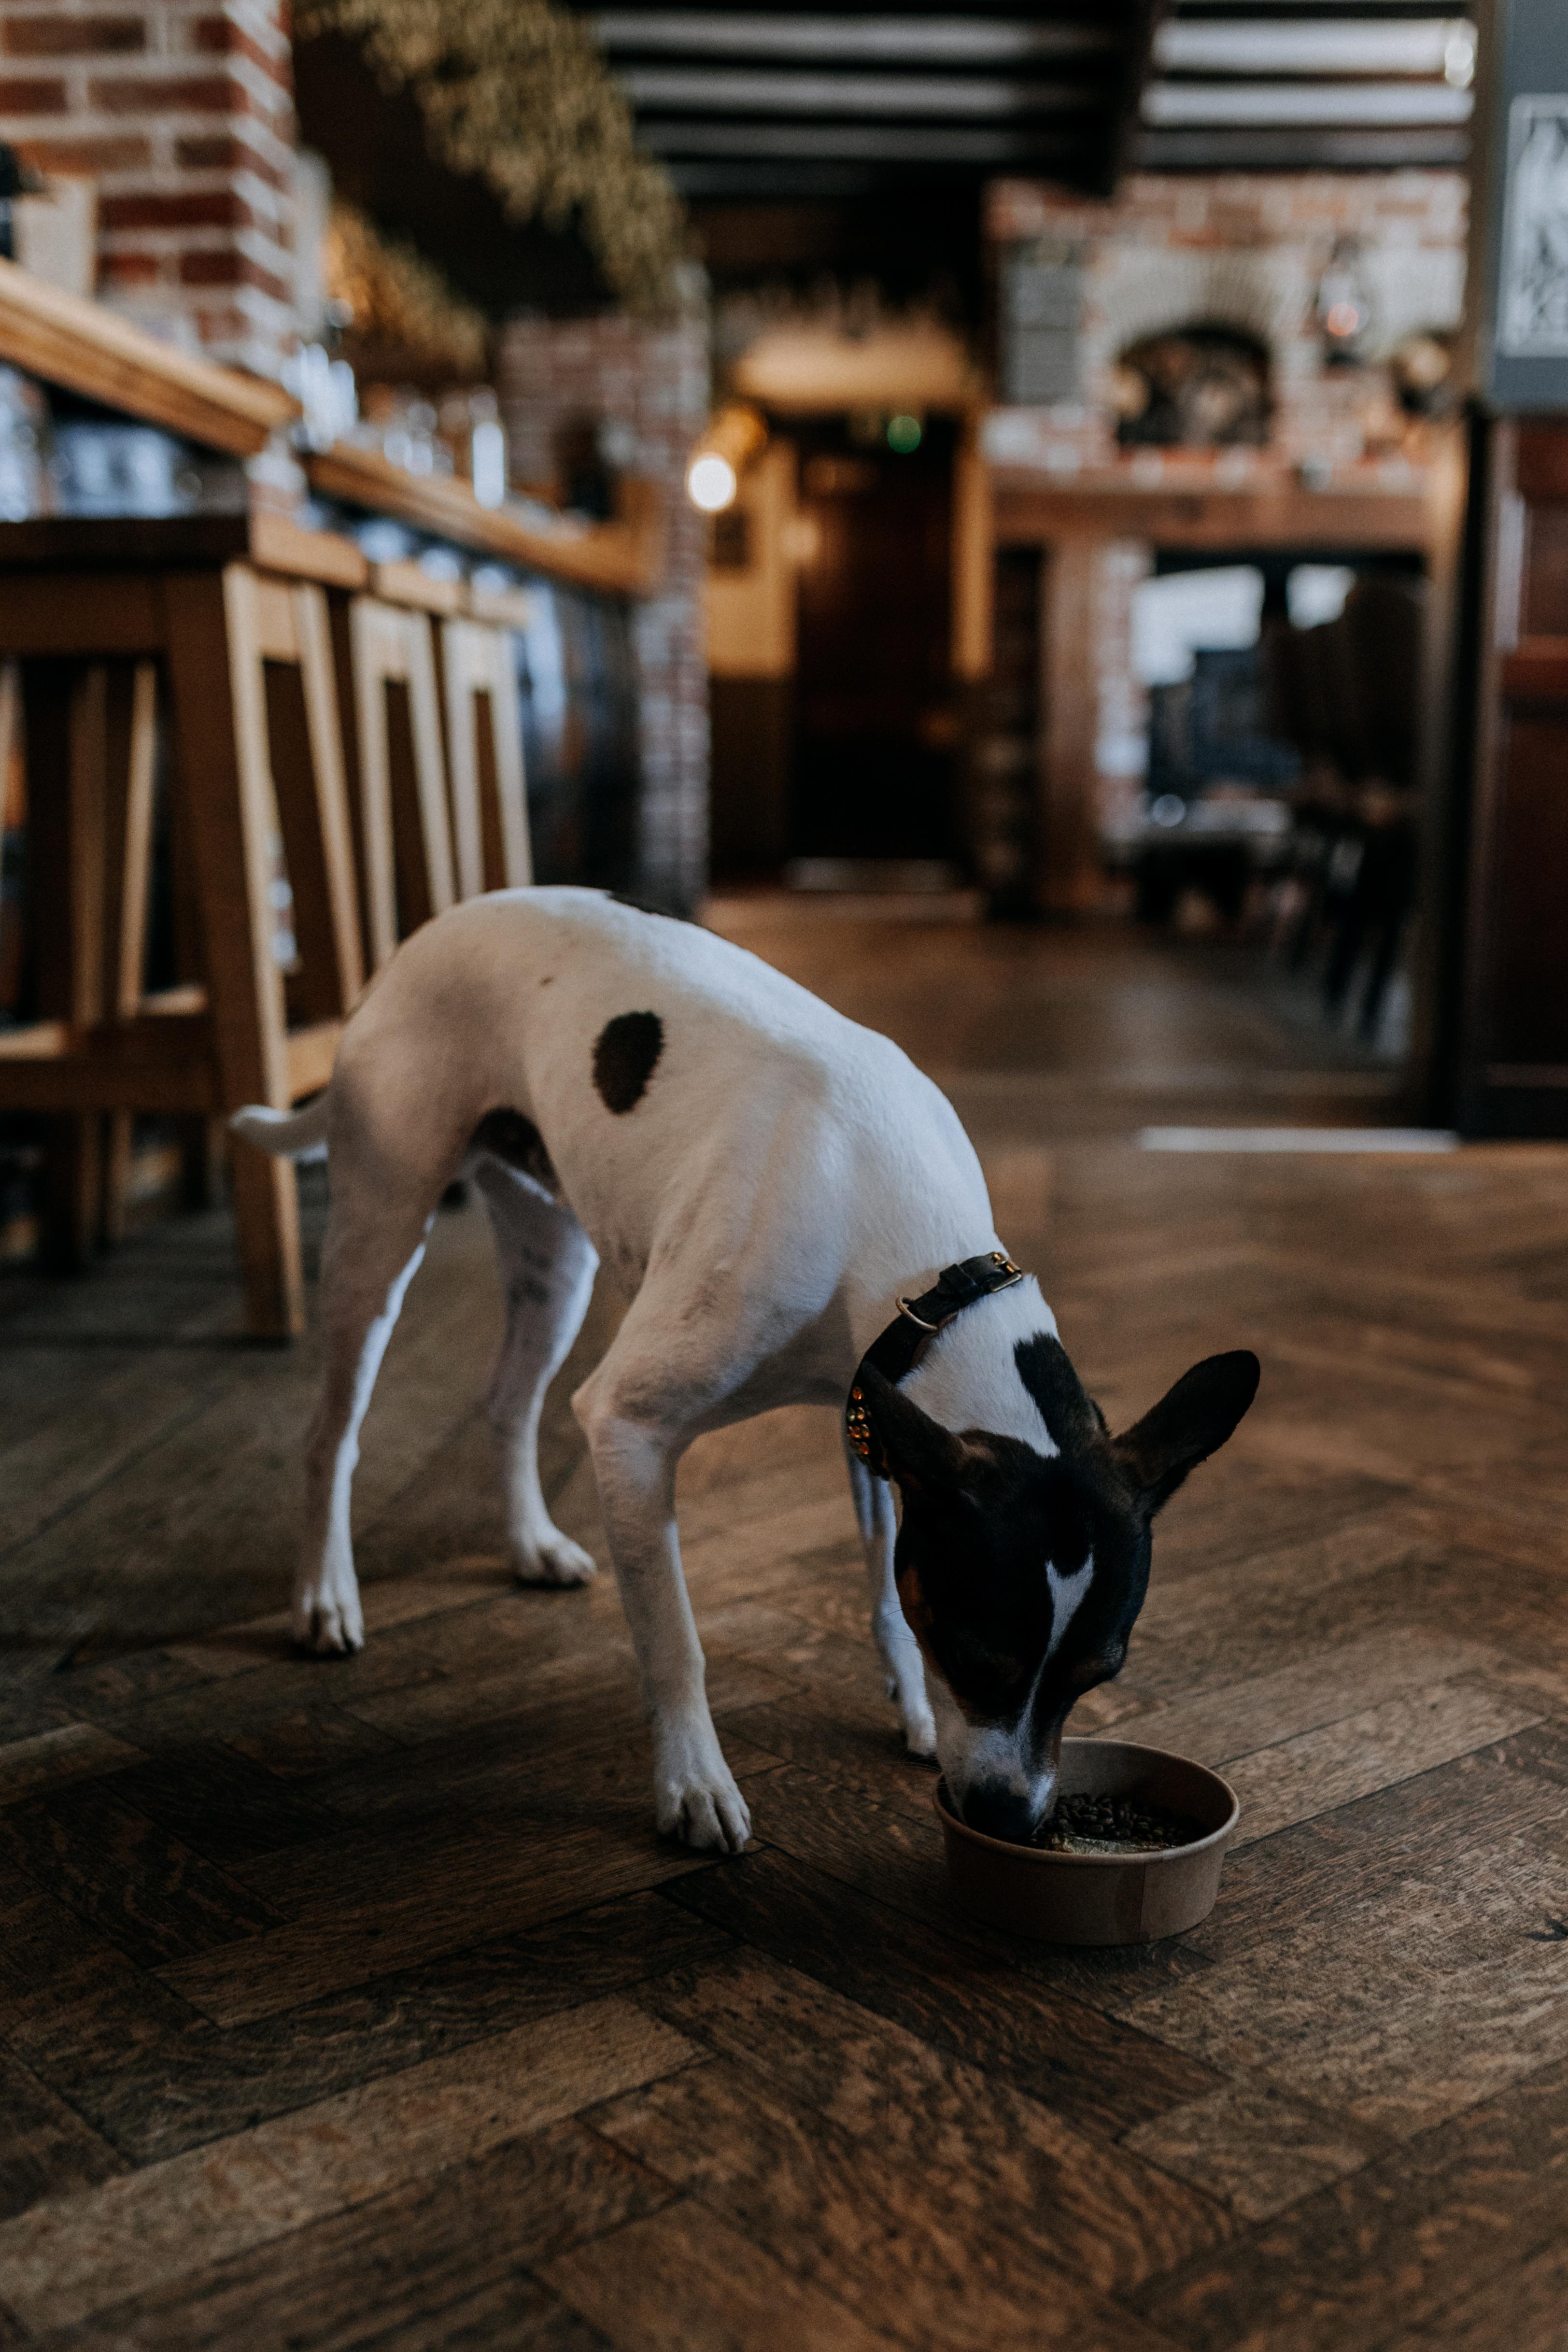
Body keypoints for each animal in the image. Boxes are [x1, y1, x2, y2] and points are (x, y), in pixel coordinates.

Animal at [236, 884, 1260, 1853]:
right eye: (977, 1658)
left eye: (1099, 1676)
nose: (1014, 1821)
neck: (902, 1244)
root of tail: (426, 933)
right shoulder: (631, 1429)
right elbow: (673, 1642)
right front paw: (694, 1784)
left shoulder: (871, 1417)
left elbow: (884, 1591)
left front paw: (912, 1708)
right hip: (380, 1240)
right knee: (331, 1433)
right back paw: (324, 1594)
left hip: (551, 1265)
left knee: (505, 1401)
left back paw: (529, 1541)